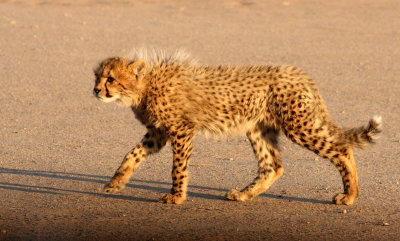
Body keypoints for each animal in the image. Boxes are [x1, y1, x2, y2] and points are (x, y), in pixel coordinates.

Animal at [93, 49, 382, 205]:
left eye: (111, 79)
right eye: (97, 76)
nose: (96, 90)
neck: (145, 86)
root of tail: (298, 73)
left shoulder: (182, 130)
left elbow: (178, 168)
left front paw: (176, 196)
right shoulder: (159, 132)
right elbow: (132, 154)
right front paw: (115, 182)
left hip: (299, 125)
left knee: (342, 149)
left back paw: (349, 195)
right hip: (258, 128)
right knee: (272, 166)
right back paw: (244, 195)